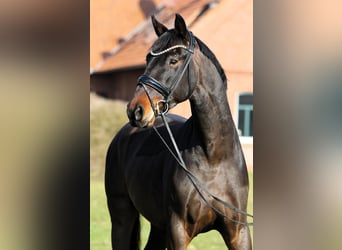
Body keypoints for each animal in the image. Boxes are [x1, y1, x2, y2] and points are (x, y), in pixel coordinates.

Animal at [104, 14, 251, 250]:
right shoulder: (178, 231)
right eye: (147, 59)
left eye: (173, 60)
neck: (214, 157)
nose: (135, 110)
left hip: (158, 226)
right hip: (122, 217)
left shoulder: (239, 232)